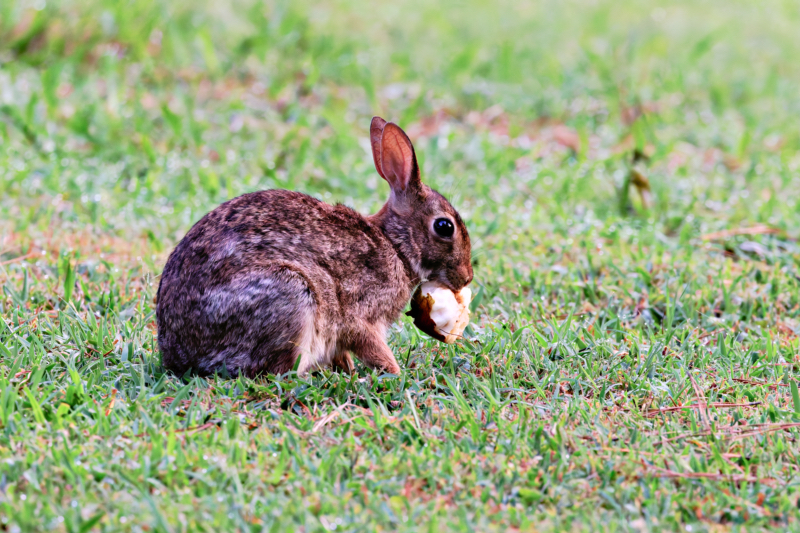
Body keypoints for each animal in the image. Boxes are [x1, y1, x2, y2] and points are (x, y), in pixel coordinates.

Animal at [153, 118, 472, 376]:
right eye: (444, 227)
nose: (466, 277)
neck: (396, 246)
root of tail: (179, 355)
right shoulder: (359, 315)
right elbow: (370, 345)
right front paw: (396, 372)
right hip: (291, 293)